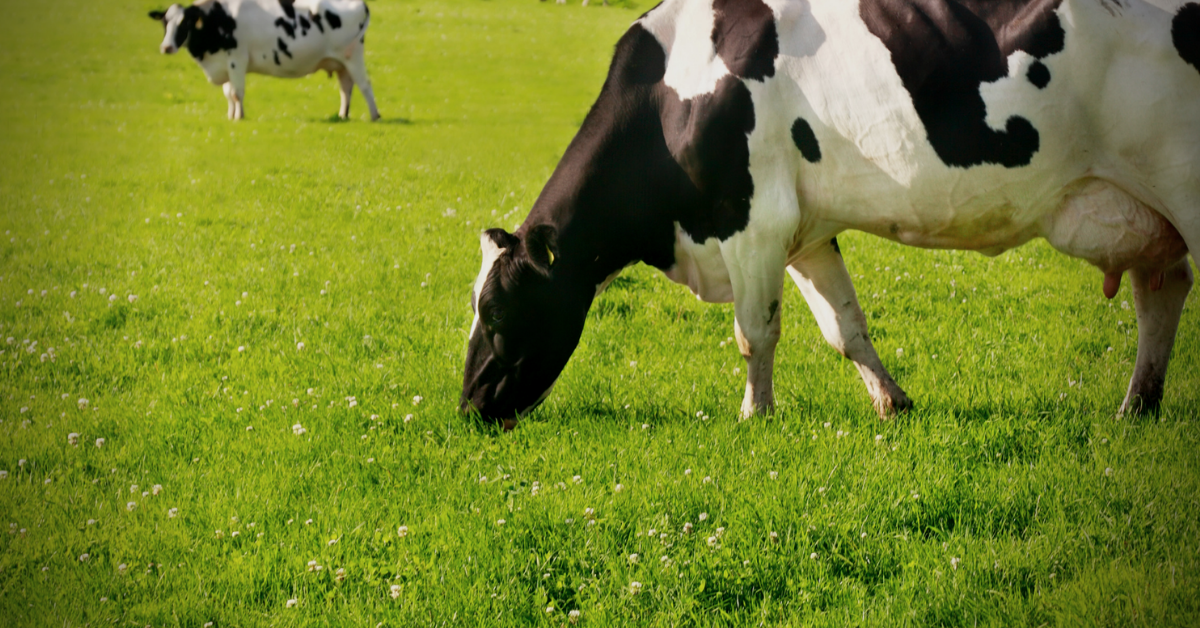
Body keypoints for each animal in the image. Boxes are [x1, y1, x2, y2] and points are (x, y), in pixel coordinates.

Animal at [148, 0, 379, 121]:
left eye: (185, 23)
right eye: (165, 23)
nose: (166, 47)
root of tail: (359, 3)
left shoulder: (237, 59)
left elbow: (236, 93)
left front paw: (239, 117)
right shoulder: (225, 64)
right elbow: (228, 94)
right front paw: (230, 115)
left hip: (353, 56)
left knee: (365, 85)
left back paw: (375, 115)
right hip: (340, 62)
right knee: (346, 87)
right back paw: (342, 115)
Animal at [458, 0, 1200, 427]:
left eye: (497, 311)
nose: (468, 406)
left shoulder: (750, 219)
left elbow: (754, 332)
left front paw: (755, 414)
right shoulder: (804, 234)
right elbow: (844, 328)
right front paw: (892, 402)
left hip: (1184, 186)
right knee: (1161, 294)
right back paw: (1136, 407)